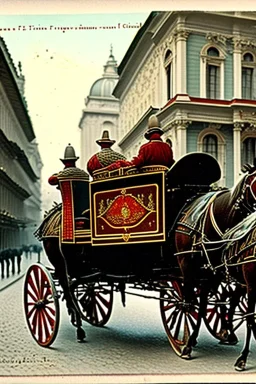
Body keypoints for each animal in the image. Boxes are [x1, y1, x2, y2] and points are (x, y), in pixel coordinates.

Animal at [174, 166, 256, 358]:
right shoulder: (206, 271)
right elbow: (197, 304)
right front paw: (188, 343)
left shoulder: (226, 271)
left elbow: (227, 303)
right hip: (185, 263)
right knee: (189, 301)